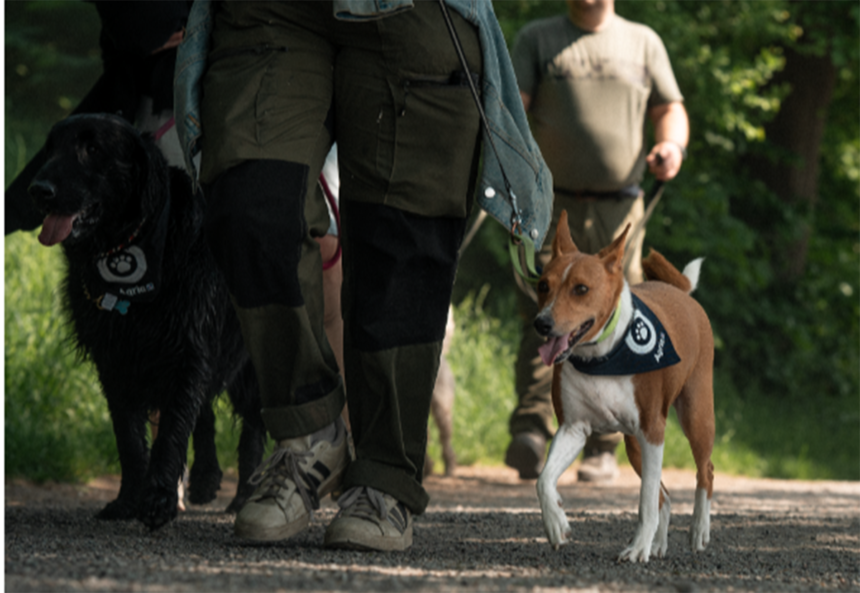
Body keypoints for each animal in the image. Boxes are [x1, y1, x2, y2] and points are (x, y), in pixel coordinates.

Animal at [29, 113, 266, 528]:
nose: (38, 190)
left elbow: (172, 431)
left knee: (253, 421)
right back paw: (207, 479)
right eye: (50, 147)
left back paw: (244, 497)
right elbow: (130, 438)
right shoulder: (116, 360)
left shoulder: (188, 351)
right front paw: (128, 500)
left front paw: (158, 500)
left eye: (92, 148)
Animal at [536, 210, 716, 560]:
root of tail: (680, 292)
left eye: (581, 289)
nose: (542, 323)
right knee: (663, 495)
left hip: (695, 416)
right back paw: (657, 544)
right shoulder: (573, 429)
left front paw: (637, 549)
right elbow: (544, 480)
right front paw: (555, 523)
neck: (602, 357)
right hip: (635, 446)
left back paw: (699, 529)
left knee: (705, 472)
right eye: (543, 285)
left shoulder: (653, 431)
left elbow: (645, 502)